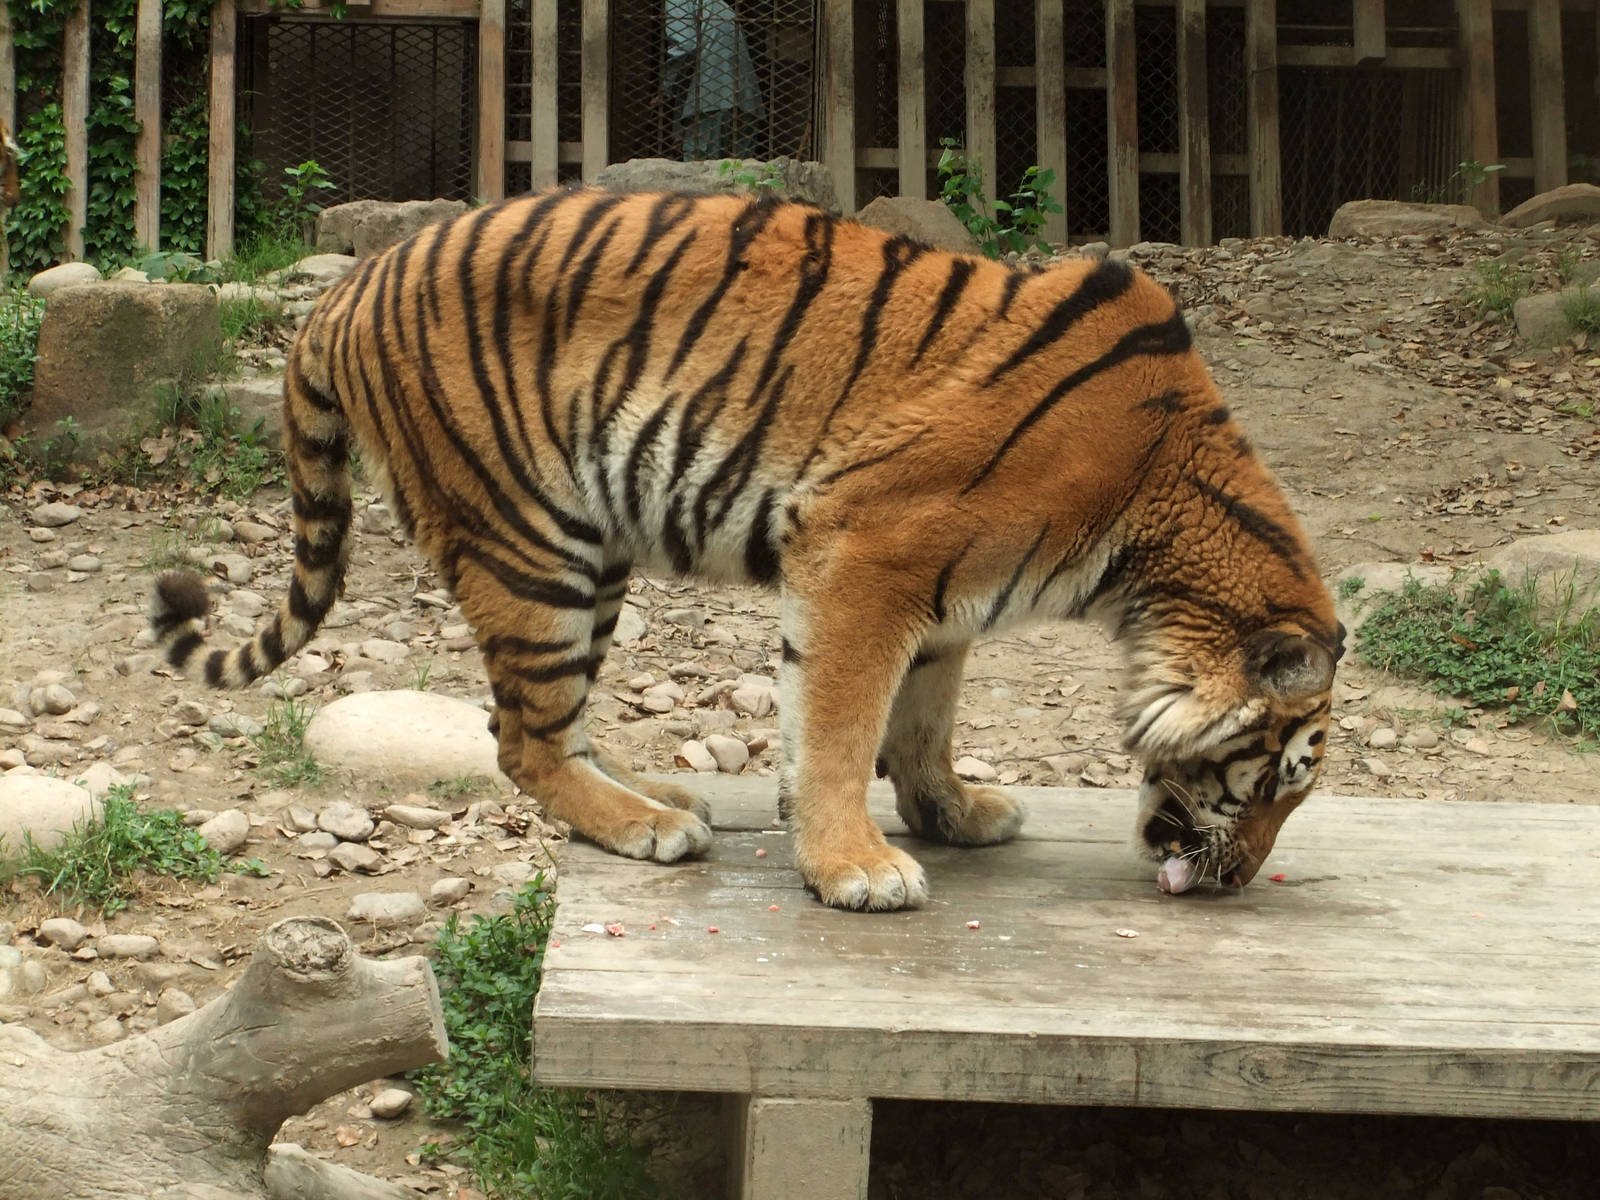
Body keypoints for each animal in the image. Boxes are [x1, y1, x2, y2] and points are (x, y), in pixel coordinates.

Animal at [149, 186, 1343, 911]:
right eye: (1273, 777)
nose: (1238, 880)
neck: (1151, 542)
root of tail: (347, 285)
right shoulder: (867, 550)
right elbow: (840, 724)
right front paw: (856, 867)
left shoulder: (950, 599)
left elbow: (920, 722)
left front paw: (953, 812)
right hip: (530, 538)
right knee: (521, 739)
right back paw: (649, 829)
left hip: (593, 554)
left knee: (553, 724)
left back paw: (656, 799)